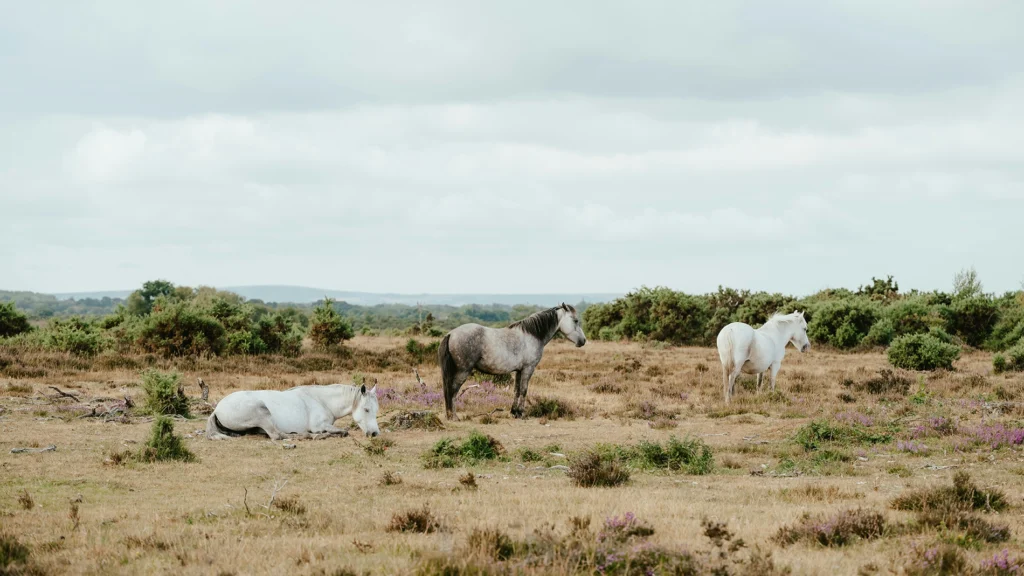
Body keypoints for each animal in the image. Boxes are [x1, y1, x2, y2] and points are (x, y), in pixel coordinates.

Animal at [204, 381, 380, 438]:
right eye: (366, 410)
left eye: (376, 410)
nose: (374, 433)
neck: (322, 401)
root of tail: (217, 409)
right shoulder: (319, 425)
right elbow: (343, 431)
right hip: (262, 412)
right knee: (277, 435)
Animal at [436, 303, 589, 420]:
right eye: (575, 320)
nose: (583, 341)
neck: (531, 335)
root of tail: (451, 333)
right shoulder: (528, 369)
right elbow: (524, 390)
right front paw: (521, 413)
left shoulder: (519, 371)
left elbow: (516, 390)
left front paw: (514, 412)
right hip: (463, 371)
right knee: (452, 390)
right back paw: (453, 416)